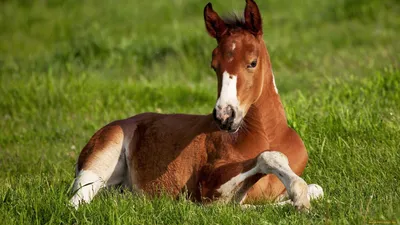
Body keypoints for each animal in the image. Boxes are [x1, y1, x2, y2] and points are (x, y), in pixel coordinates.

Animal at [70, 0, 324, 210]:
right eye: (214, 66)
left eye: (252, 62)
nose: (224, 116)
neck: (268, 135)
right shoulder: (209, 185)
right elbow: (266, 160)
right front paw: (298, 196)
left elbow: (317, 189)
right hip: (98, 162)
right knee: (75, 202)